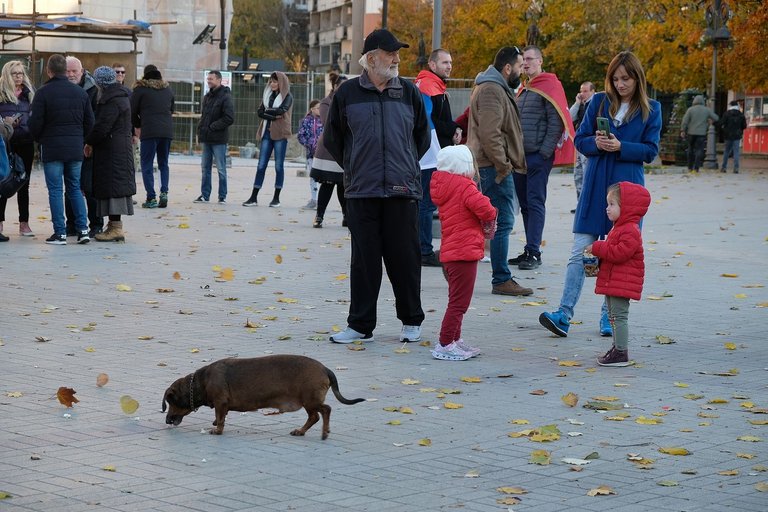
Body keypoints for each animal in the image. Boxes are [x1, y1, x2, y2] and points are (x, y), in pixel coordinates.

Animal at [160, 354, 364, 438]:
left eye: (170, 401)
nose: (168, 420)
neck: (202, 381)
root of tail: (324, 368)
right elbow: (220, 416)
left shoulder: (220, 402)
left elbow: (220, 418)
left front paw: (217, 430)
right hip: (309, 402)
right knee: (314, 417)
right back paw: (301, 431)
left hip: (310, 399)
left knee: (324, 411)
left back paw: (322, 432)